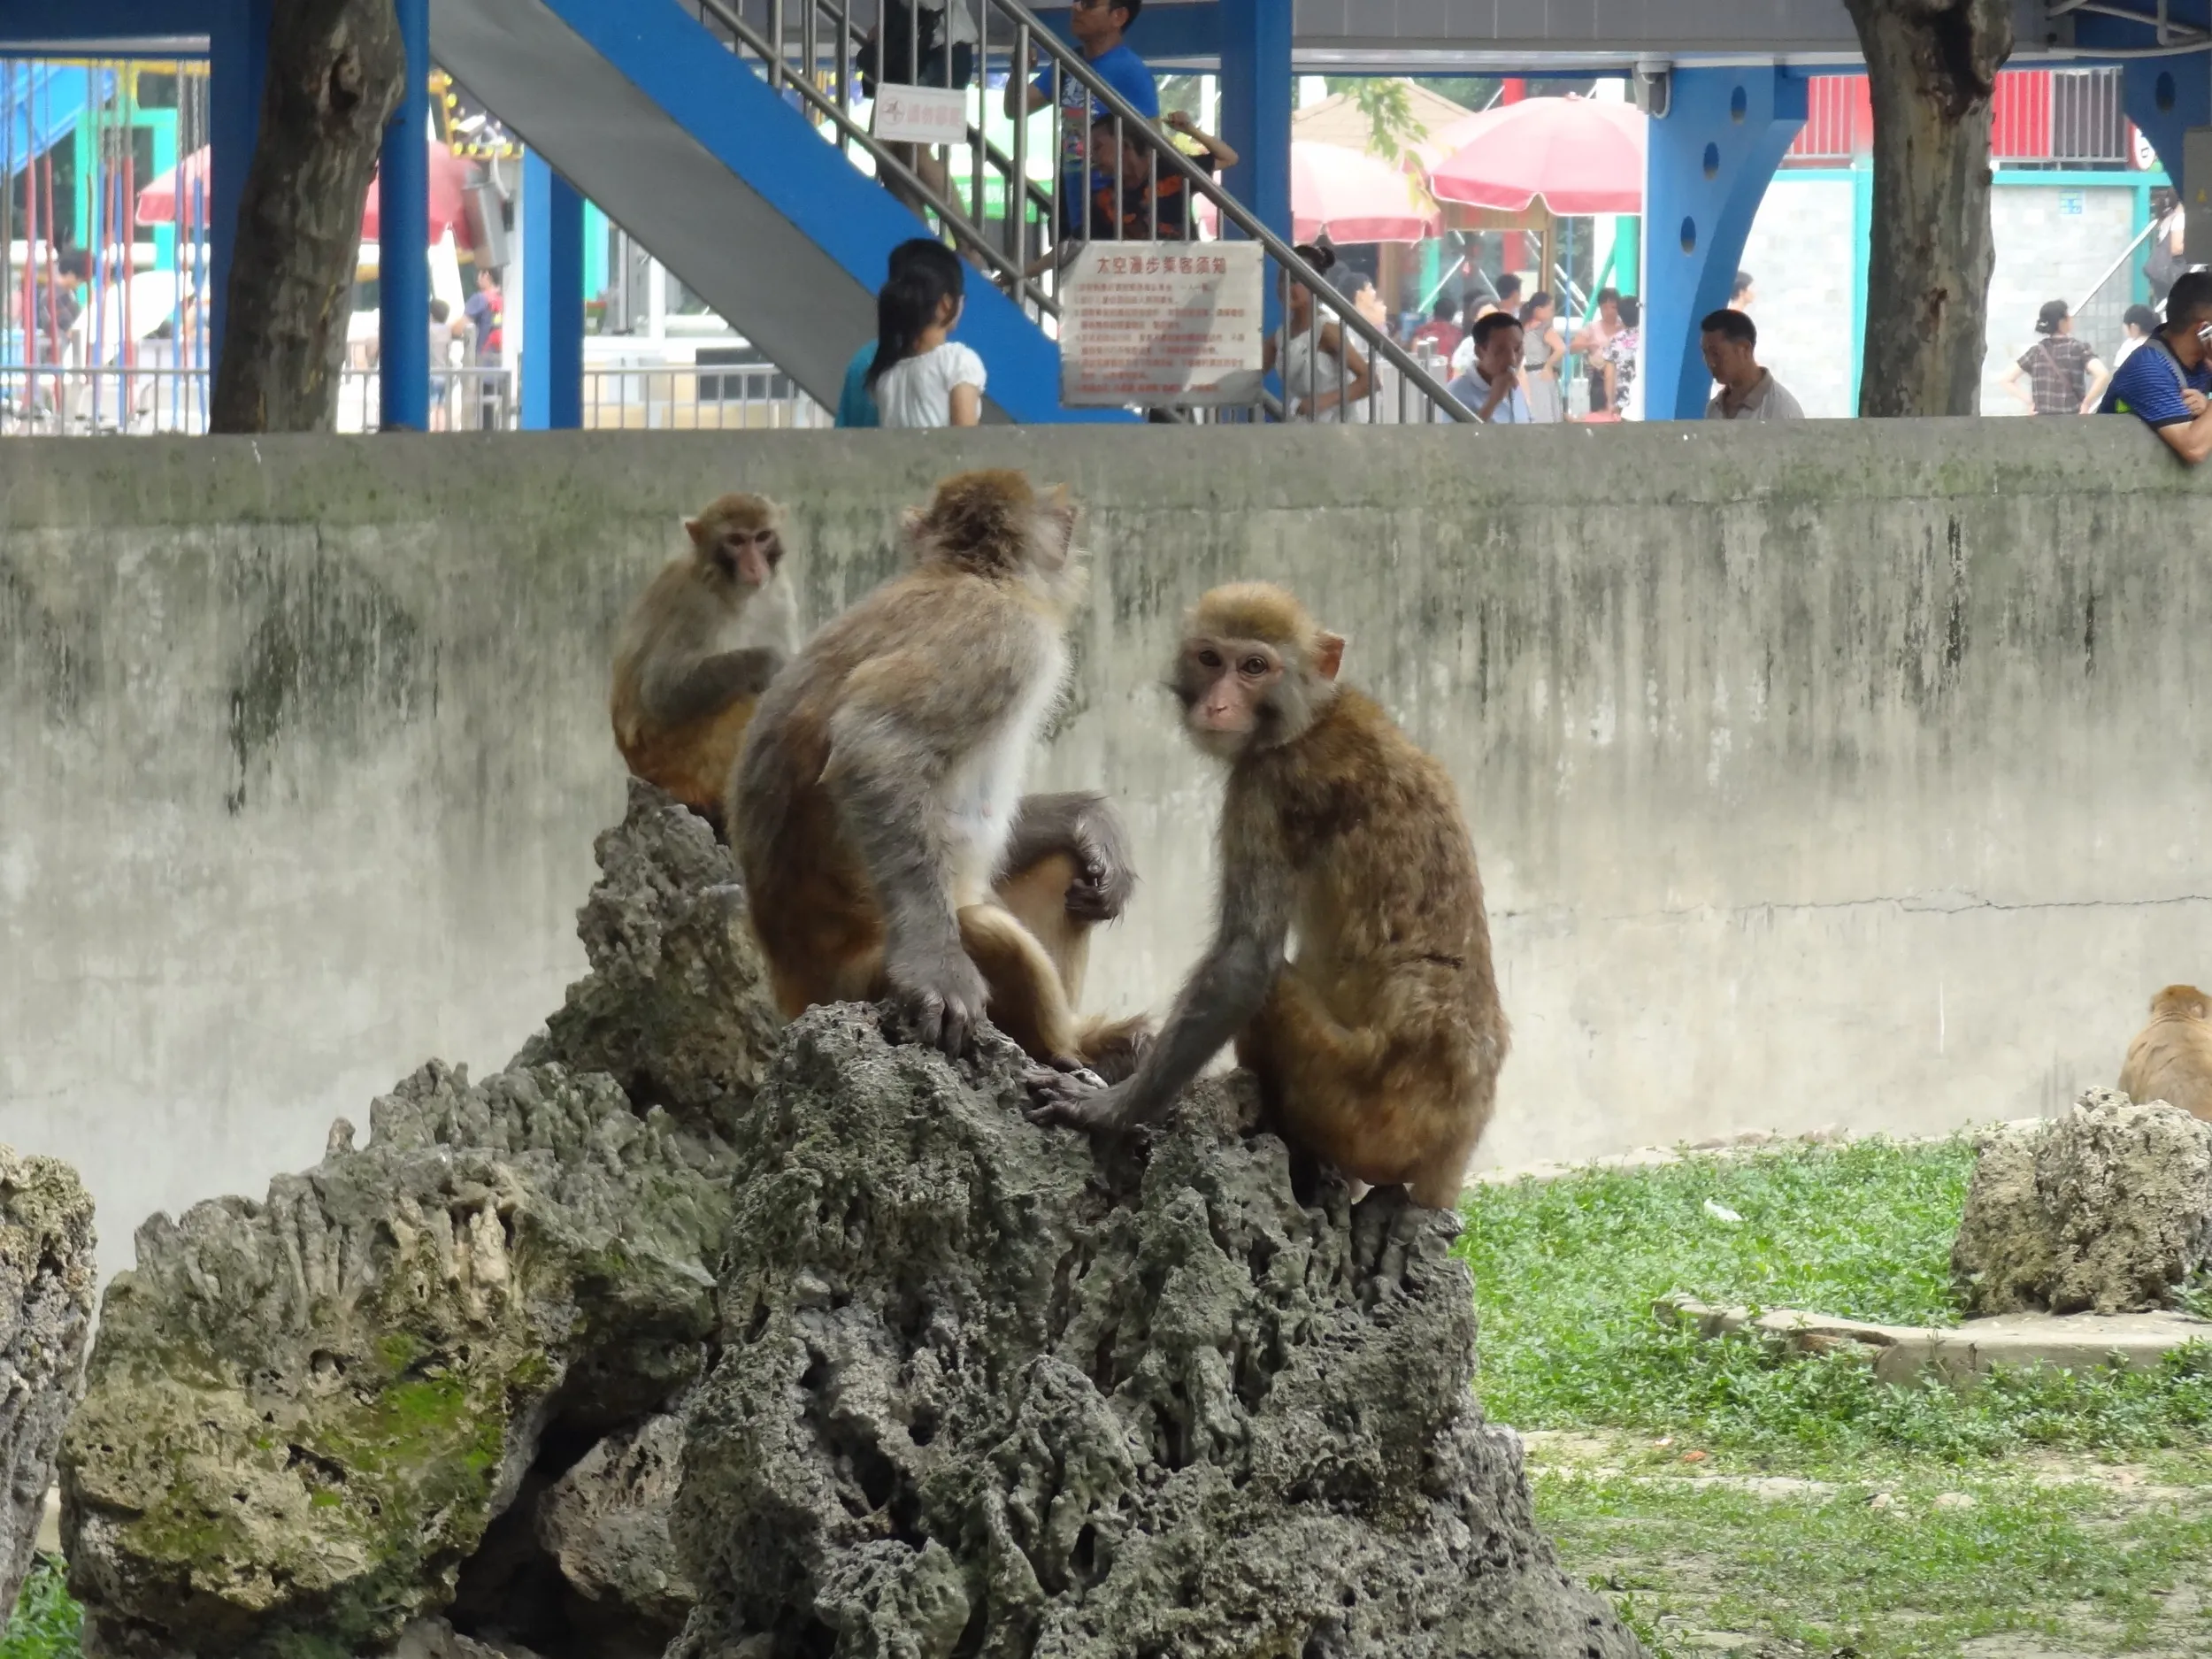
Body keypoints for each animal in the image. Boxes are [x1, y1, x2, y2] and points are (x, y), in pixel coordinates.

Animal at [610, 493, 799, 839]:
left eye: (762, 537)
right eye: (736, 541)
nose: (755, 565)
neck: (735, 592)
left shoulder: (780, 595)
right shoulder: (695, 604)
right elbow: (660, 691)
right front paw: (772, 662)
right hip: (677, 759)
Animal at [731, 468, 1150, 1078]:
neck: (970, 572)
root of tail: (799, 999)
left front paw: (1091, 819)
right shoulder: (1003, 634)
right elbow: (874, 740)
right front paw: (935, 971)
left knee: (1062, 864)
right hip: (868, 982)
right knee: (991, 933)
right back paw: (1073, 1050)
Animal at [1030, 581, 1508, 1210]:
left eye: (1254, 667)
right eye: (1211, 659)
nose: (1219, 704)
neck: (1310, 718)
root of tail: (1457, 1146)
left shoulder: (1265, 786)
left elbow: (1245, 959)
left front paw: (1110, 1108)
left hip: (1359, 1109)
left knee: (1273, 988)